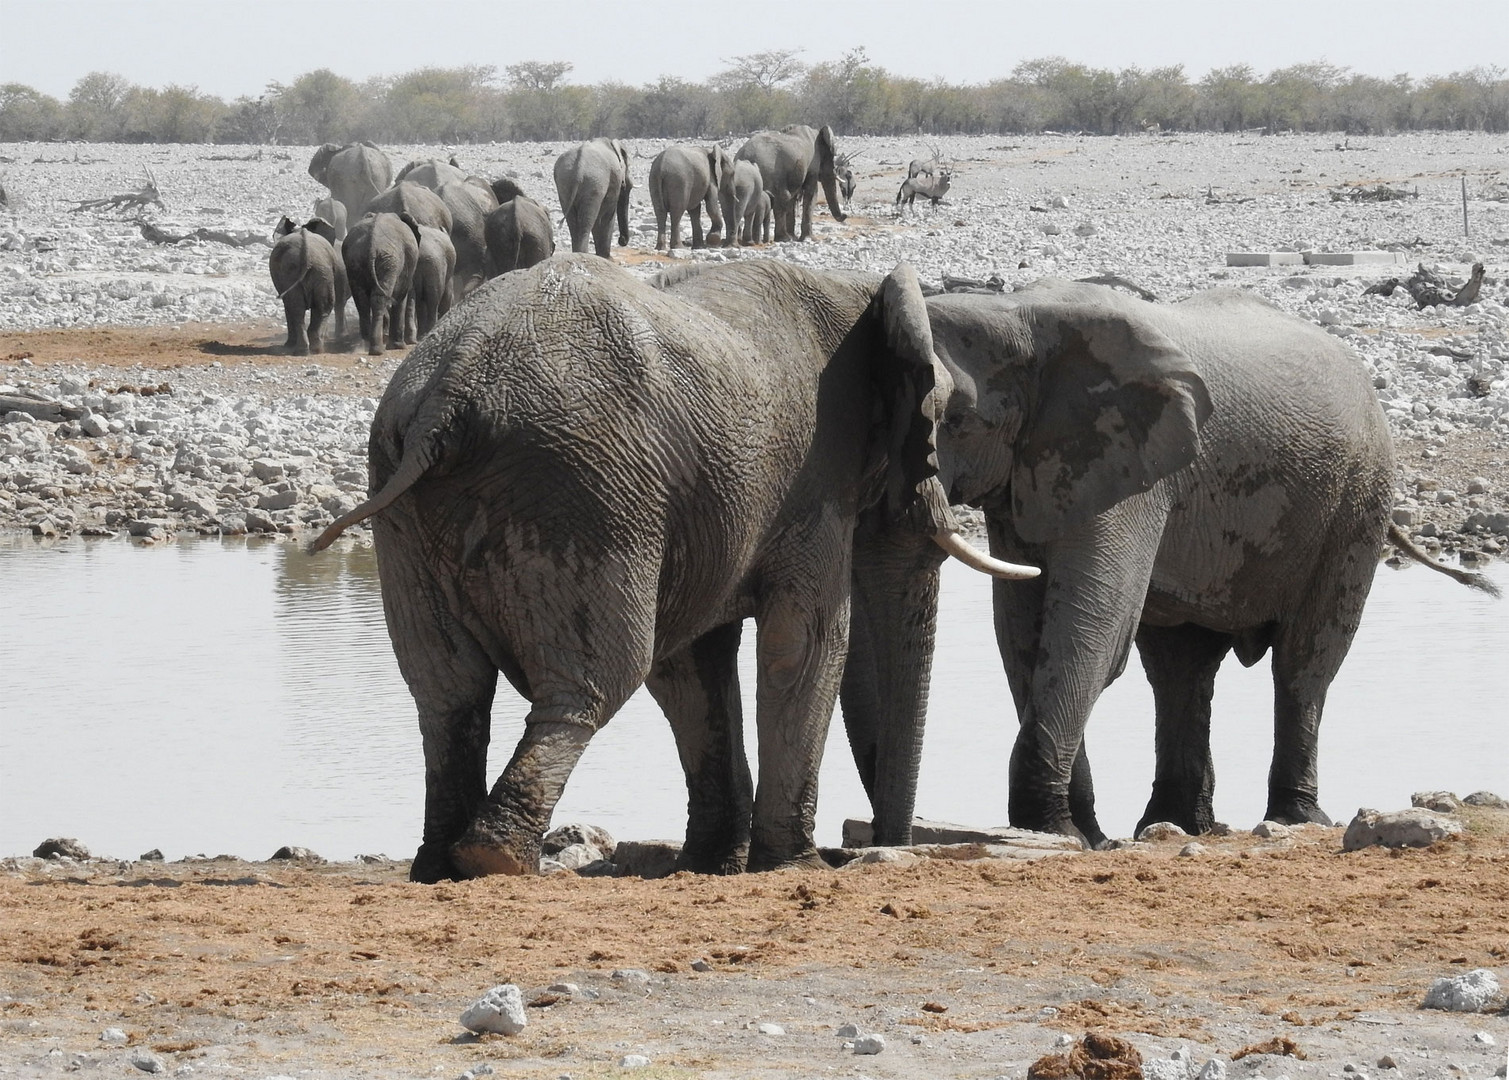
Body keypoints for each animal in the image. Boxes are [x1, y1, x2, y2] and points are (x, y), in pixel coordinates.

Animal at [268, 214, 347, 354]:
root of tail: (307, 253)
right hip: (320, 272)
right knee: (320, 307)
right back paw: (312, 349)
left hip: (298, 271)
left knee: (297, 308)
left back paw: (304, 349)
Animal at [306, 257, 1038, 880]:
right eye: (947, 420)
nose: (876, 845)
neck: (859, 290)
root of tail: (448, 392)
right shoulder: (814, 481)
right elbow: (802, 643)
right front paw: (789, 865)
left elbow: (691, 666)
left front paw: (713, 863)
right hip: (581, 491)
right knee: (595, 678)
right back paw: (496, 860)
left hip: (410, 501)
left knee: (447, 692)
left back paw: (439, 867)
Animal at [338, 212, 419, 355]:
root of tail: (372, 243)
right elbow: (401, 296)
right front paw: (398, 346)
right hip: (389, 262)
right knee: (380, 298)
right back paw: (378, 350)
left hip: (355, 260)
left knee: (361, 300)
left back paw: (367, 344)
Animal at [845, 280, 1490, 850]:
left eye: (953, 420)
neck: (1013, 312)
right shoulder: (1034, 472)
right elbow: (1025, 634)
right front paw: (1079, 833)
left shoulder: (1129, 464)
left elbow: (1092, 628)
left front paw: (1054, 831)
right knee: (1180, 669)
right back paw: (1176, 824)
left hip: (1357, 502)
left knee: (1304, 664)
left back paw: (1294, 818)